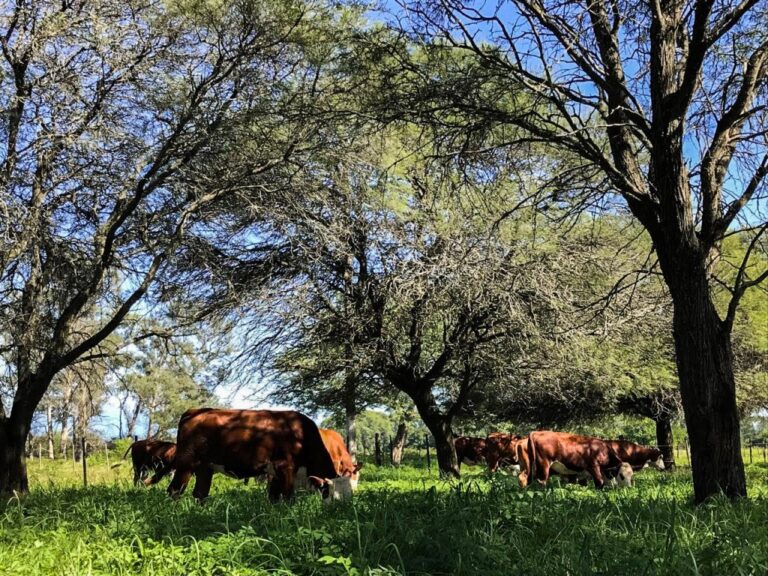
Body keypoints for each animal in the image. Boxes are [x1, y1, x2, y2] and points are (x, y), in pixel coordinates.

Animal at [168, 408, 342, 502]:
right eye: (330, 492)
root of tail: (196, 411)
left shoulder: (275, 473)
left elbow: (274, 497)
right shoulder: (285, 466)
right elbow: (287, 496)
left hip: (205, 467)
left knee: (200, 493)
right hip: (186, 464)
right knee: (174, 491)